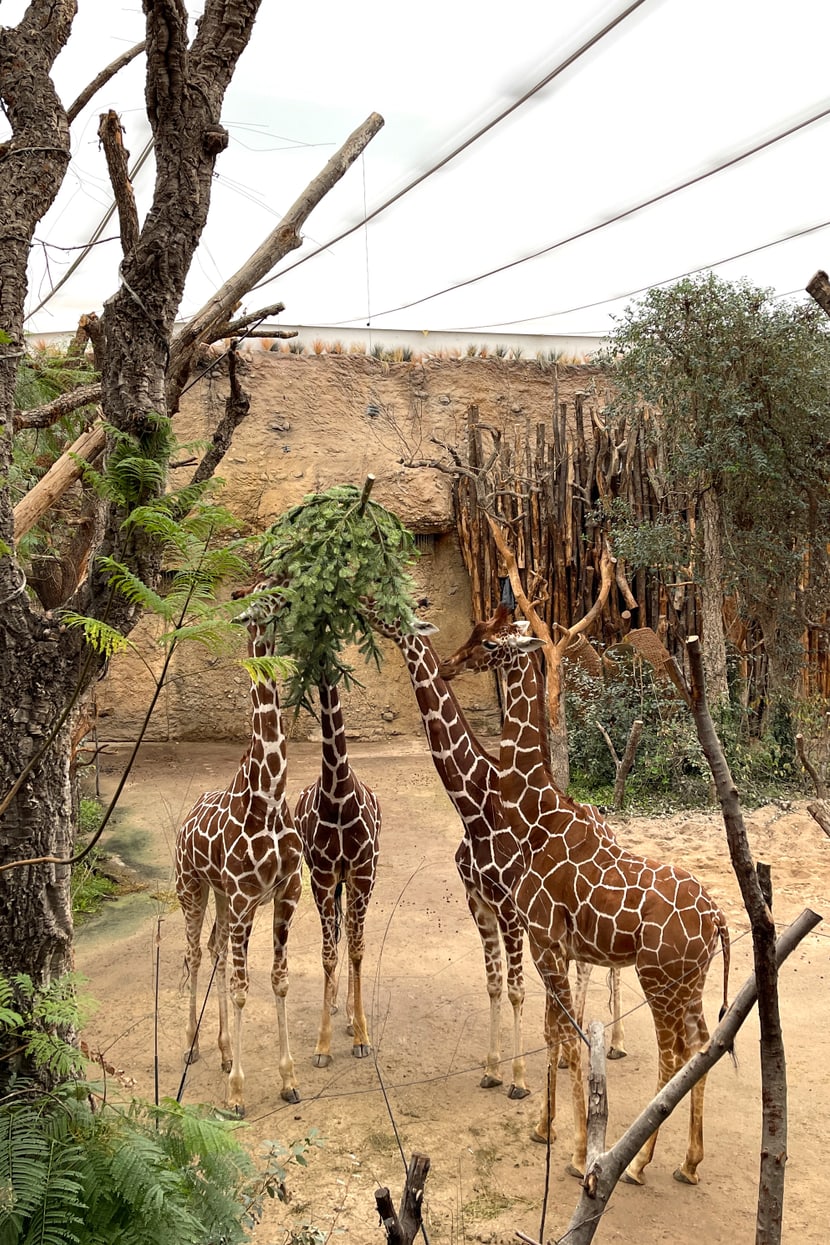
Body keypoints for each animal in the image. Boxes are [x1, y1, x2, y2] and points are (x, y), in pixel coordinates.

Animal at [365, 602, 532, 1100]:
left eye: (390, 609)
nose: (448, 666)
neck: (475, 808)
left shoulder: (508, 906)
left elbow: (516, 989)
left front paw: (519, 1080)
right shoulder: (476, 898)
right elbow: (494, 984)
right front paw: (492, 1069)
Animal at [438, 612, 731, 1185]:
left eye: (490, 641)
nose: (449, 663)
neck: (535, 816)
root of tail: (718, 919)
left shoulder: (545, 941)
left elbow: (566, 1036)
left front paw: (575, 1154)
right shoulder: (552, 946)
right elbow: (555, 1031)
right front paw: (543, 1128)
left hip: (660, 979)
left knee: (671, 1056)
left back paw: (636, 1163)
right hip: (692, 981)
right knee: (702, 1046)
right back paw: (688, 1163)